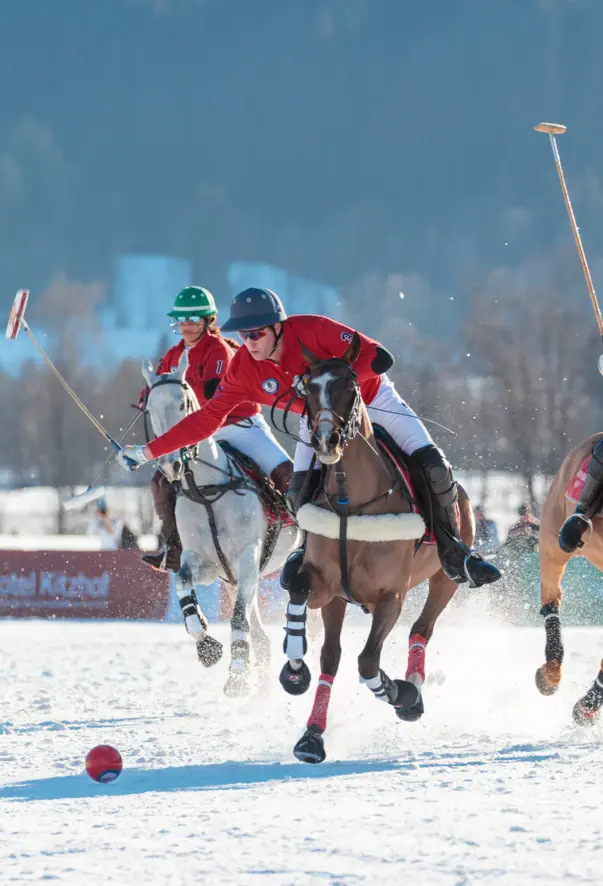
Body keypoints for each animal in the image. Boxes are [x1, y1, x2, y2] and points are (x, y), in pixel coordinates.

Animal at [142, 354, 302, 700]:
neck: (205, 489)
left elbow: (238, 618)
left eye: (183, 403)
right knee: (262, 639)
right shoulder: (205, 562)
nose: (171, 465)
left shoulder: (247, 557)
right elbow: (182, 582)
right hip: (236, 578)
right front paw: (206, 646)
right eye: (148, 410)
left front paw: (237, 678)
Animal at [278, 336, 482, 768]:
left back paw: (414, 687)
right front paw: (307, 723)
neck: (349, 503)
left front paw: (402, 694)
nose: (325, 441)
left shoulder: (392, 595)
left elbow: (368, 660)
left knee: (423, 627)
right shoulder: (329, 591)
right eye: (308, 389)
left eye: (350, 387)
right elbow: (327, 650)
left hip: (446, 578)